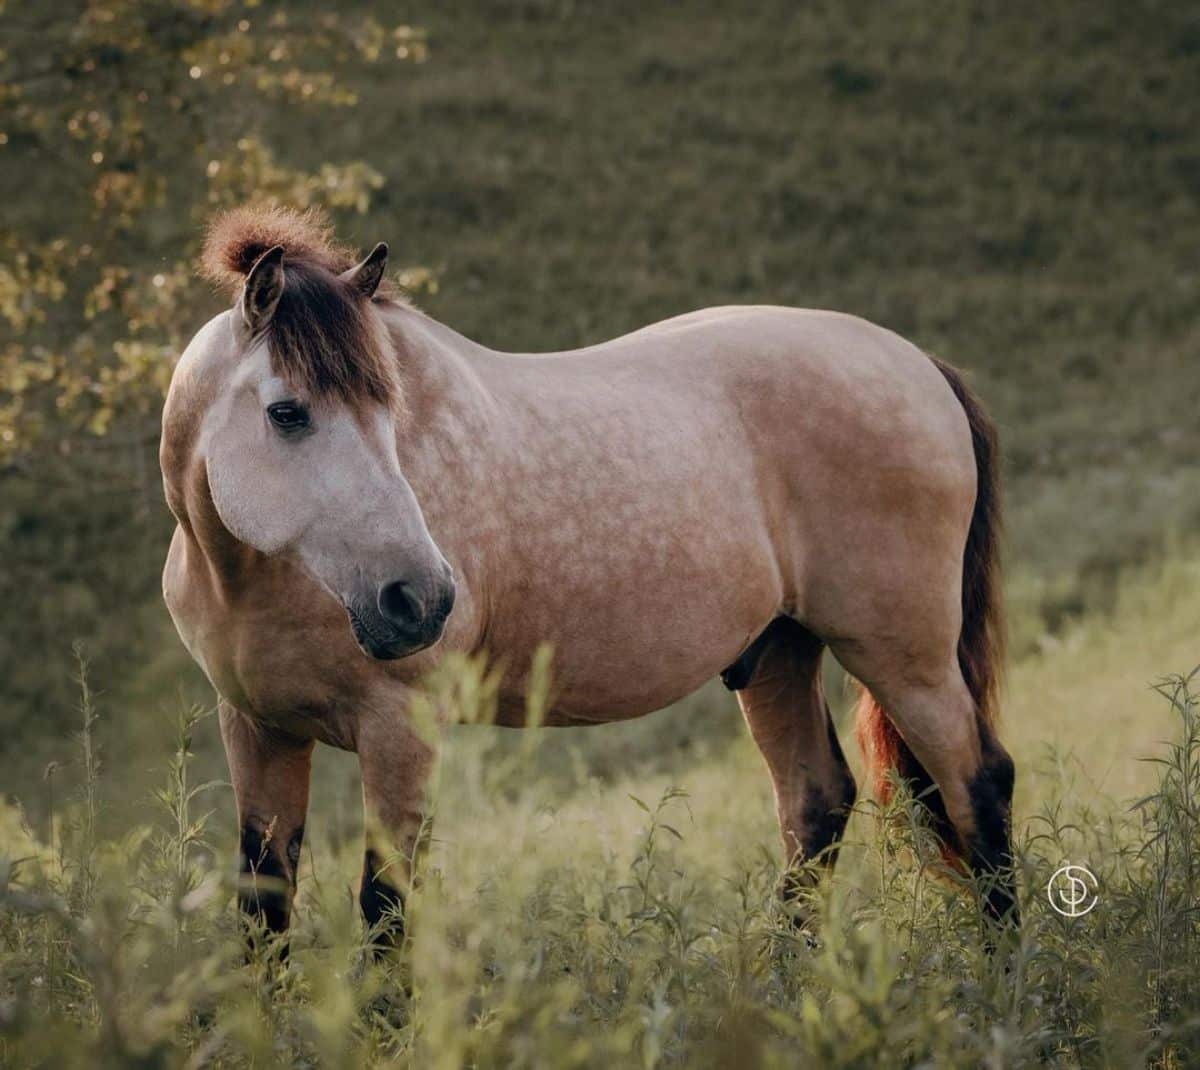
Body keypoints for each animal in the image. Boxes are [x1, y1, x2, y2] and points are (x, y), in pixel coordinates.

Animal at [159, 205, 1017, 950]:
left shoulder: (399, 730)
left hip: (905, 659)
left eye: (387, 407)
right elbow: (264, 911)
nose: (420, 600)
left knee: (978, 784)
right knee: (816, 807)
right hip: (779, 654)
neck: (253, 580)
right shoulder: (258, 731)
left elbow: (385, 910)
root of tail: (920, 366)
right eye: (288, 413)